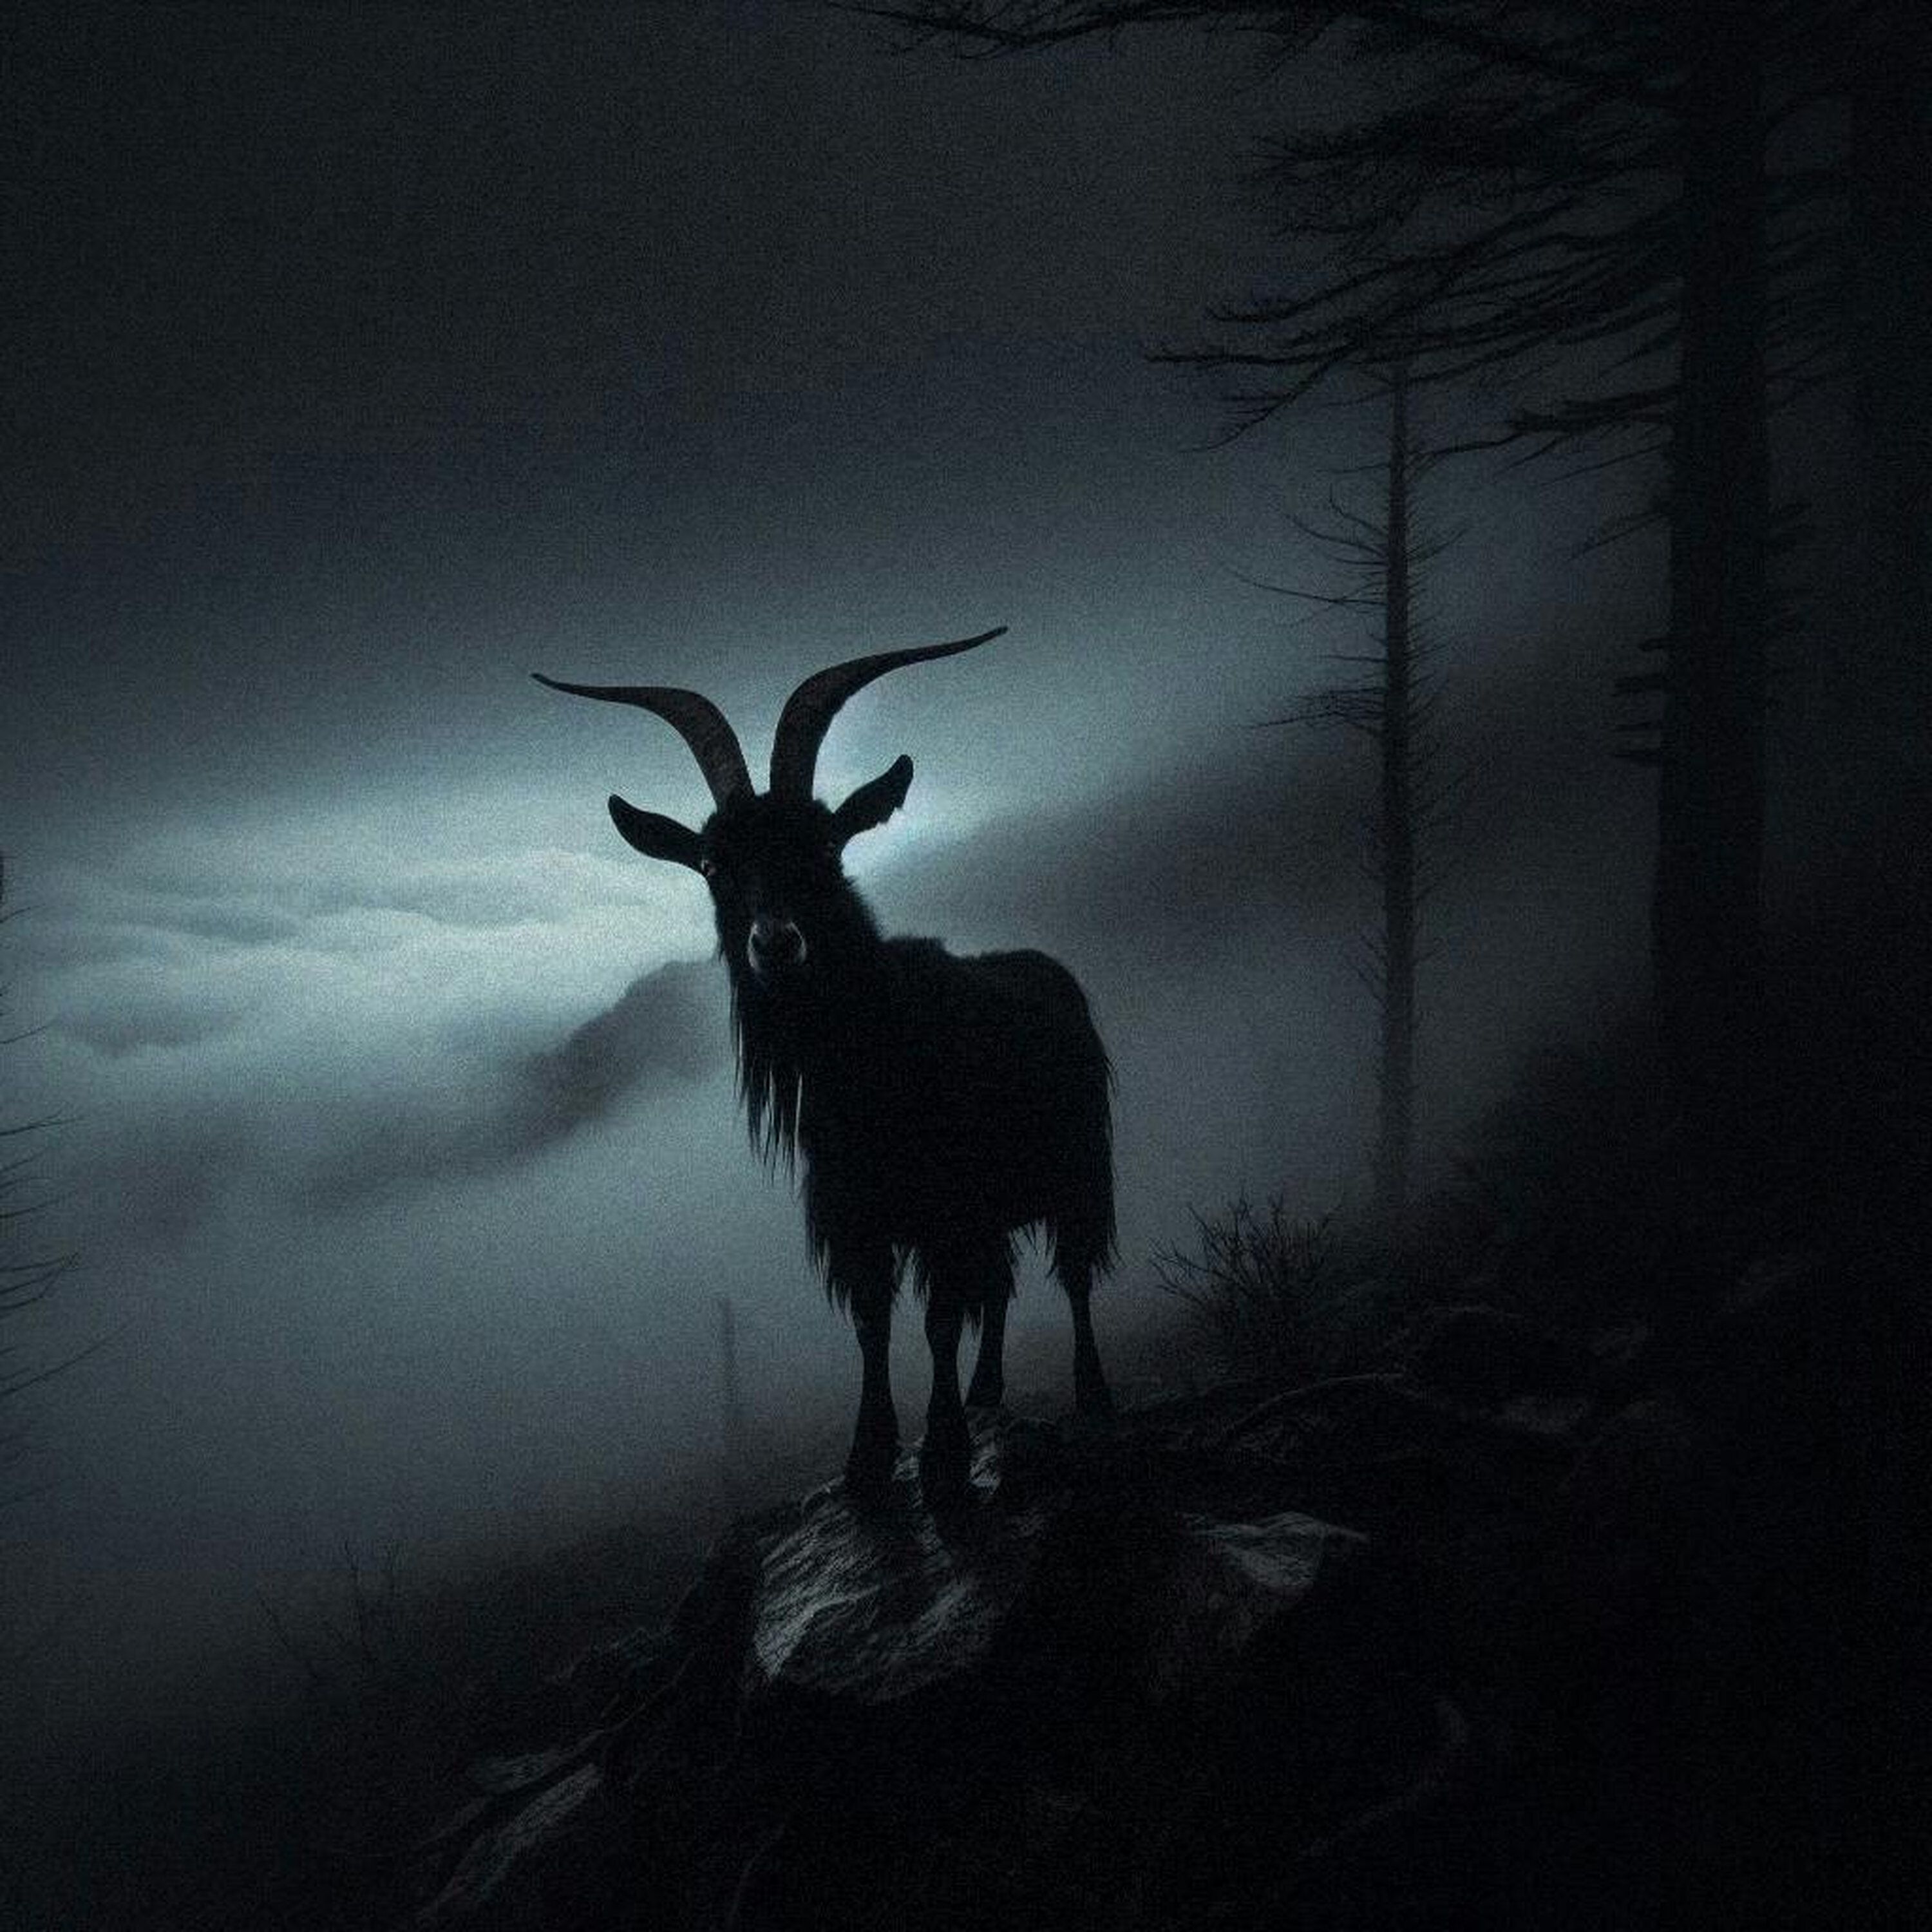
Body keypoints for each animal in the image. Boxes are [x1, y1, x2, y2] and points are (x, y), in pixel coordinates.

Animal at [536, 627, 1115, 1502]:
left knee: (1072, 1277)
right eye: (714, 866)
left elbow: (939, 1320)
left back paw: (1090, 1392)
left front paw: (943, 1457)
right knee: (1001, 1286)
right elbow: (873, 1323)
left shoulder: (945, 1207)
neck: (873, 1063)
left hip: (1079, 1169)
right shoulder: (854, 1215)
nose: (776, 943)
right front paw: (869, 1457)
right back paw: (989, 1393)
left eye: (829, 845)